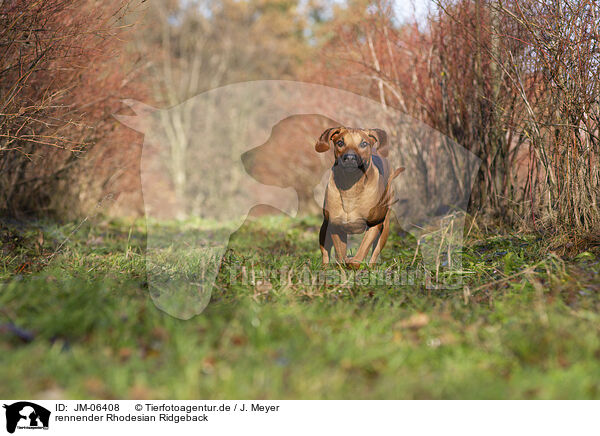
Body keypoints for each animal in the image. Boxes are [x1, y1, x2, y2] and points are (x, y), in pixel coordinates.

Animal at [314, 127, 404, 268]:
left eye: (363, 144)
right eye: (340, 143)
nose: (350, 157)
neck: (351, 187)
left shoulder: (374, 224)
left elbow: (363, 249)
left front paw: (353, 262)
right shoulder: (335, 225)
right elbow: (340, 253)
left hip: (385, 228)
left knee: (375, 252)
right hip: (324, 227)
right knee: (325, 252)